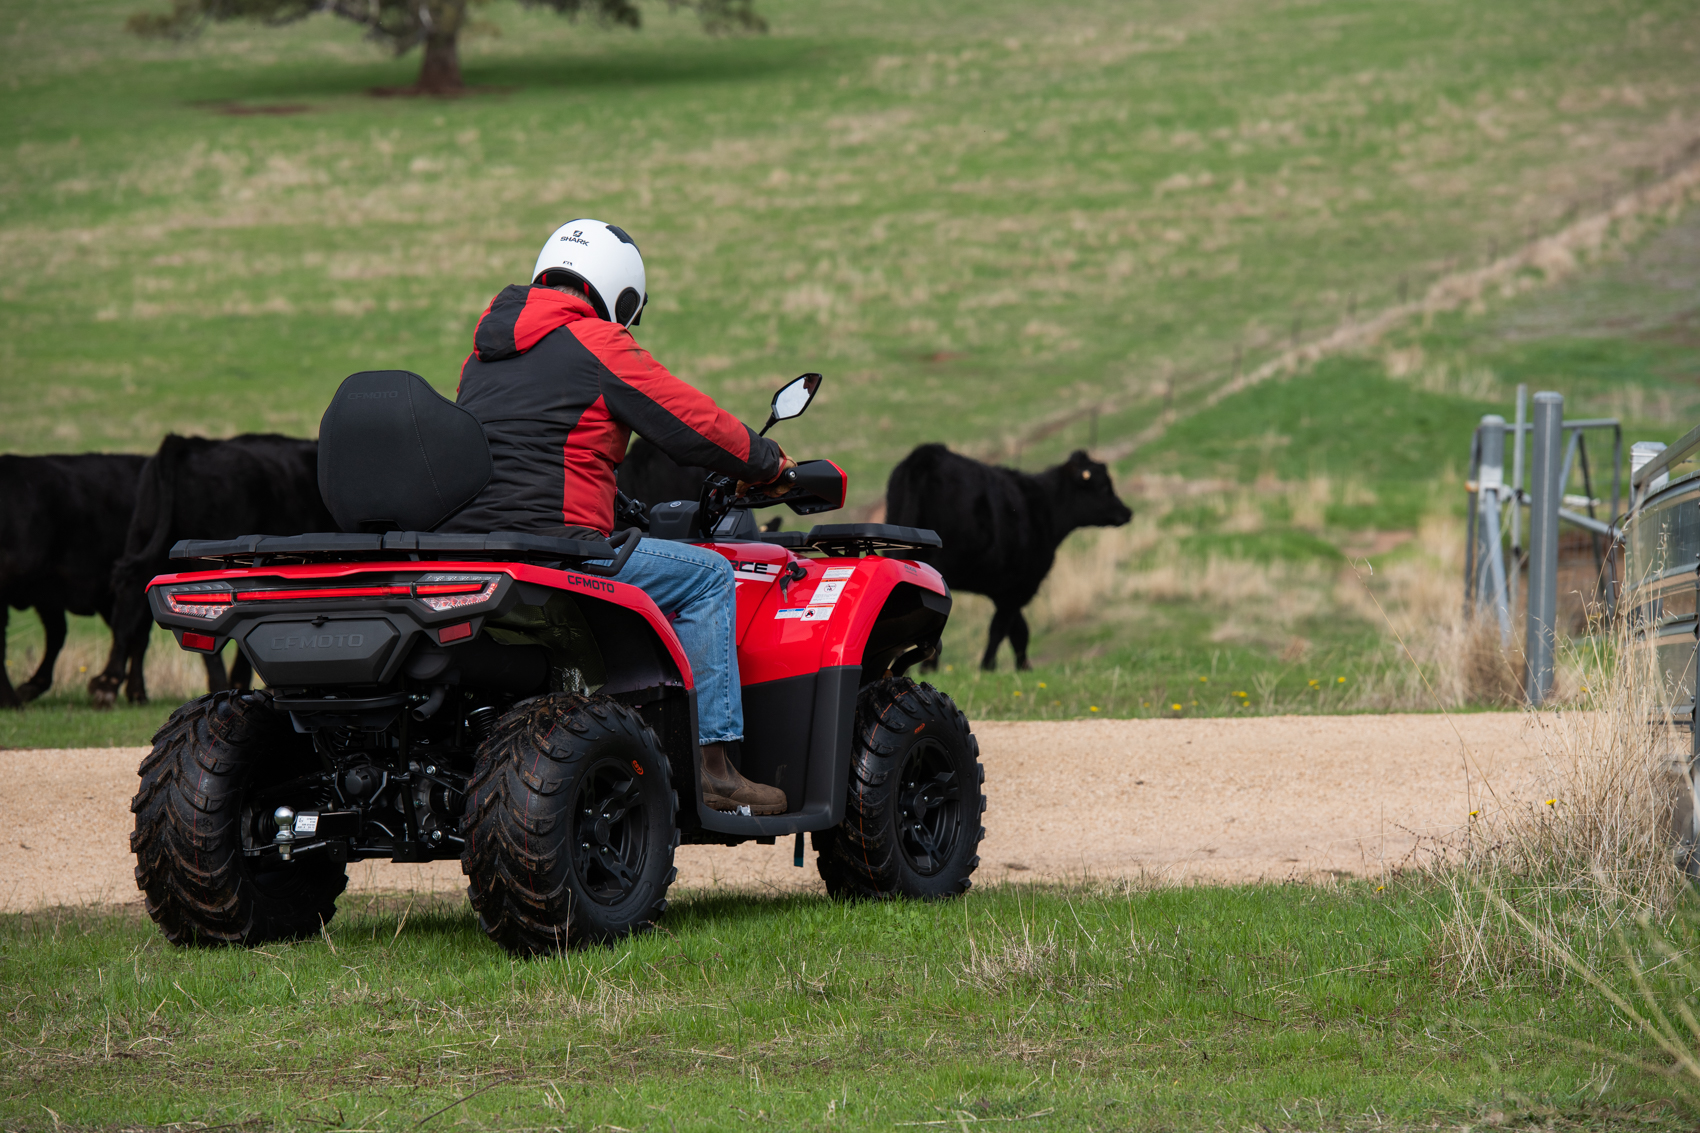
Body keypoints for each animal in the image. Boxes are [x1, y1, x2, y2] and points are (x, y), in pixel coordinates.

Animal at [884, 442, 1135, 670]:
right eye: (1104, 487)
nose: (1127, 512)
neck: (1047, 510)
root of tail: (929, 452)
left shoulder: (1005, 589)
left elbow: (1018, 630)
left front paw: (1022, 667)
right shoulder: (1021, 586)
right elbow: (1002, 629)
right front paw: (988, 666)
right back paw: (929, 666)